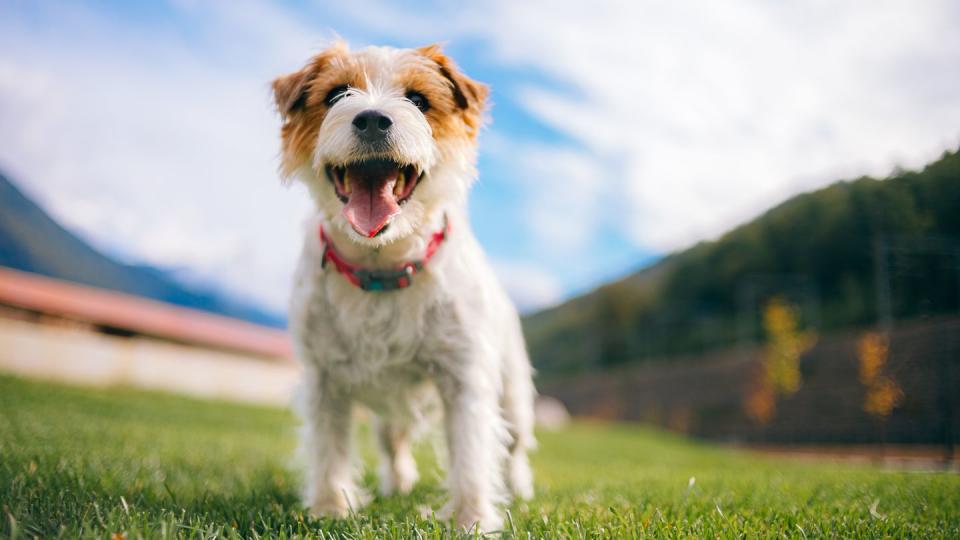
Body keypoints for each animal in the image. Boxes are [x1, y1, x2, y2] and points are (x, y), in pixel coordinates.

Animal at [274, 42, 536, 532]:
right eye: (336, 94)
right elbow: (329, 448)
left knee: (514, 446)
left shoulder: (464, 375)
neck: (381, 267)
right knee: (392, 440)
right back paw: (398, 483)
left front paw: (472, 521)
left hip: (513, 392)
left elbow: (471, 453)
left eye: (418, 99)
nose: (373, 119)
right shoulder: (324, 378)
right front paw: (330, 509)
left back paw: (521, 487)